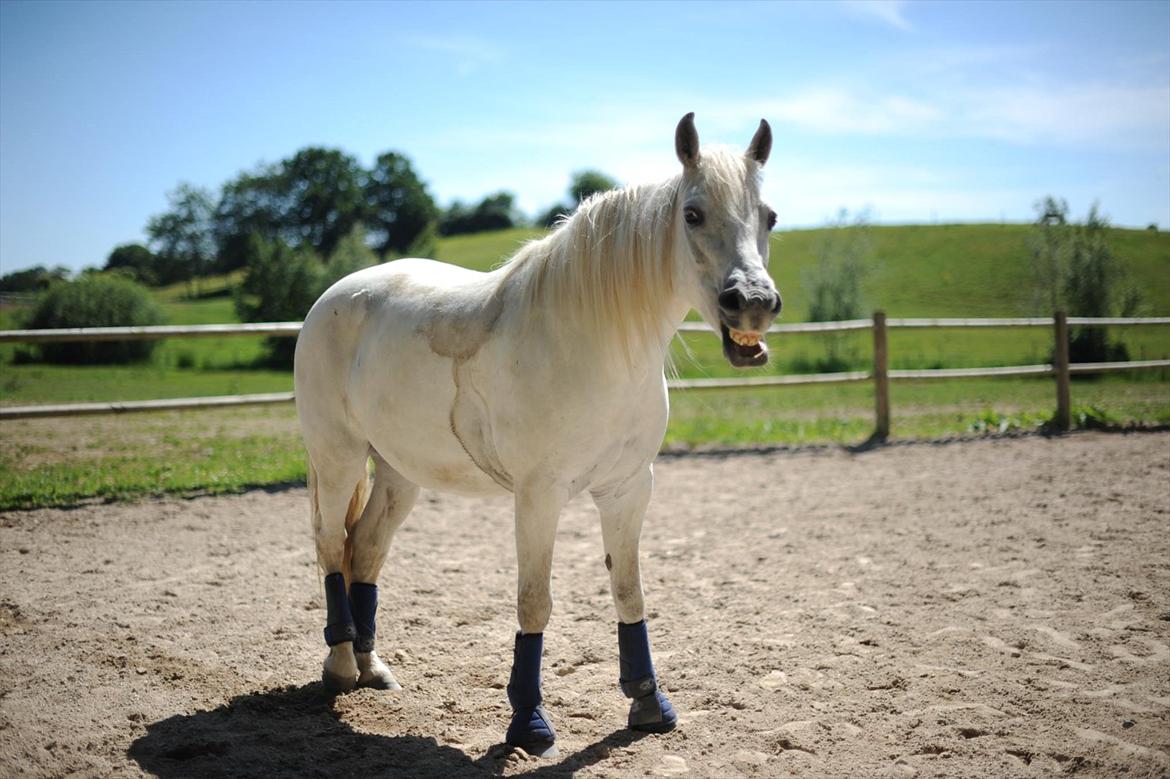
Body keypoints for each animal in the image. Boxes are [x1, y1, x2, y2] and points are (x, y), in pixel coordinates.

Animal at [292, 112, 776, 753]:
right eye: (693, 214)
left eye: (770, 216)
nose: (753, 303)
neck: (595, 346)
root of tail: (334, 296)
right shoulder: (538, 496)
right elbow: (534, 603)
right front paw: (529, 721)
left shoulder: (627, 490)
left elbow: (629, 591)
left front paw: (649, 704)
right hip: (338, 455)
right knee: (330, 545)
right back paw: (341, 667)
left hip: (399, 471)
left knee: (365, 549)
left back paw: (373, 669)